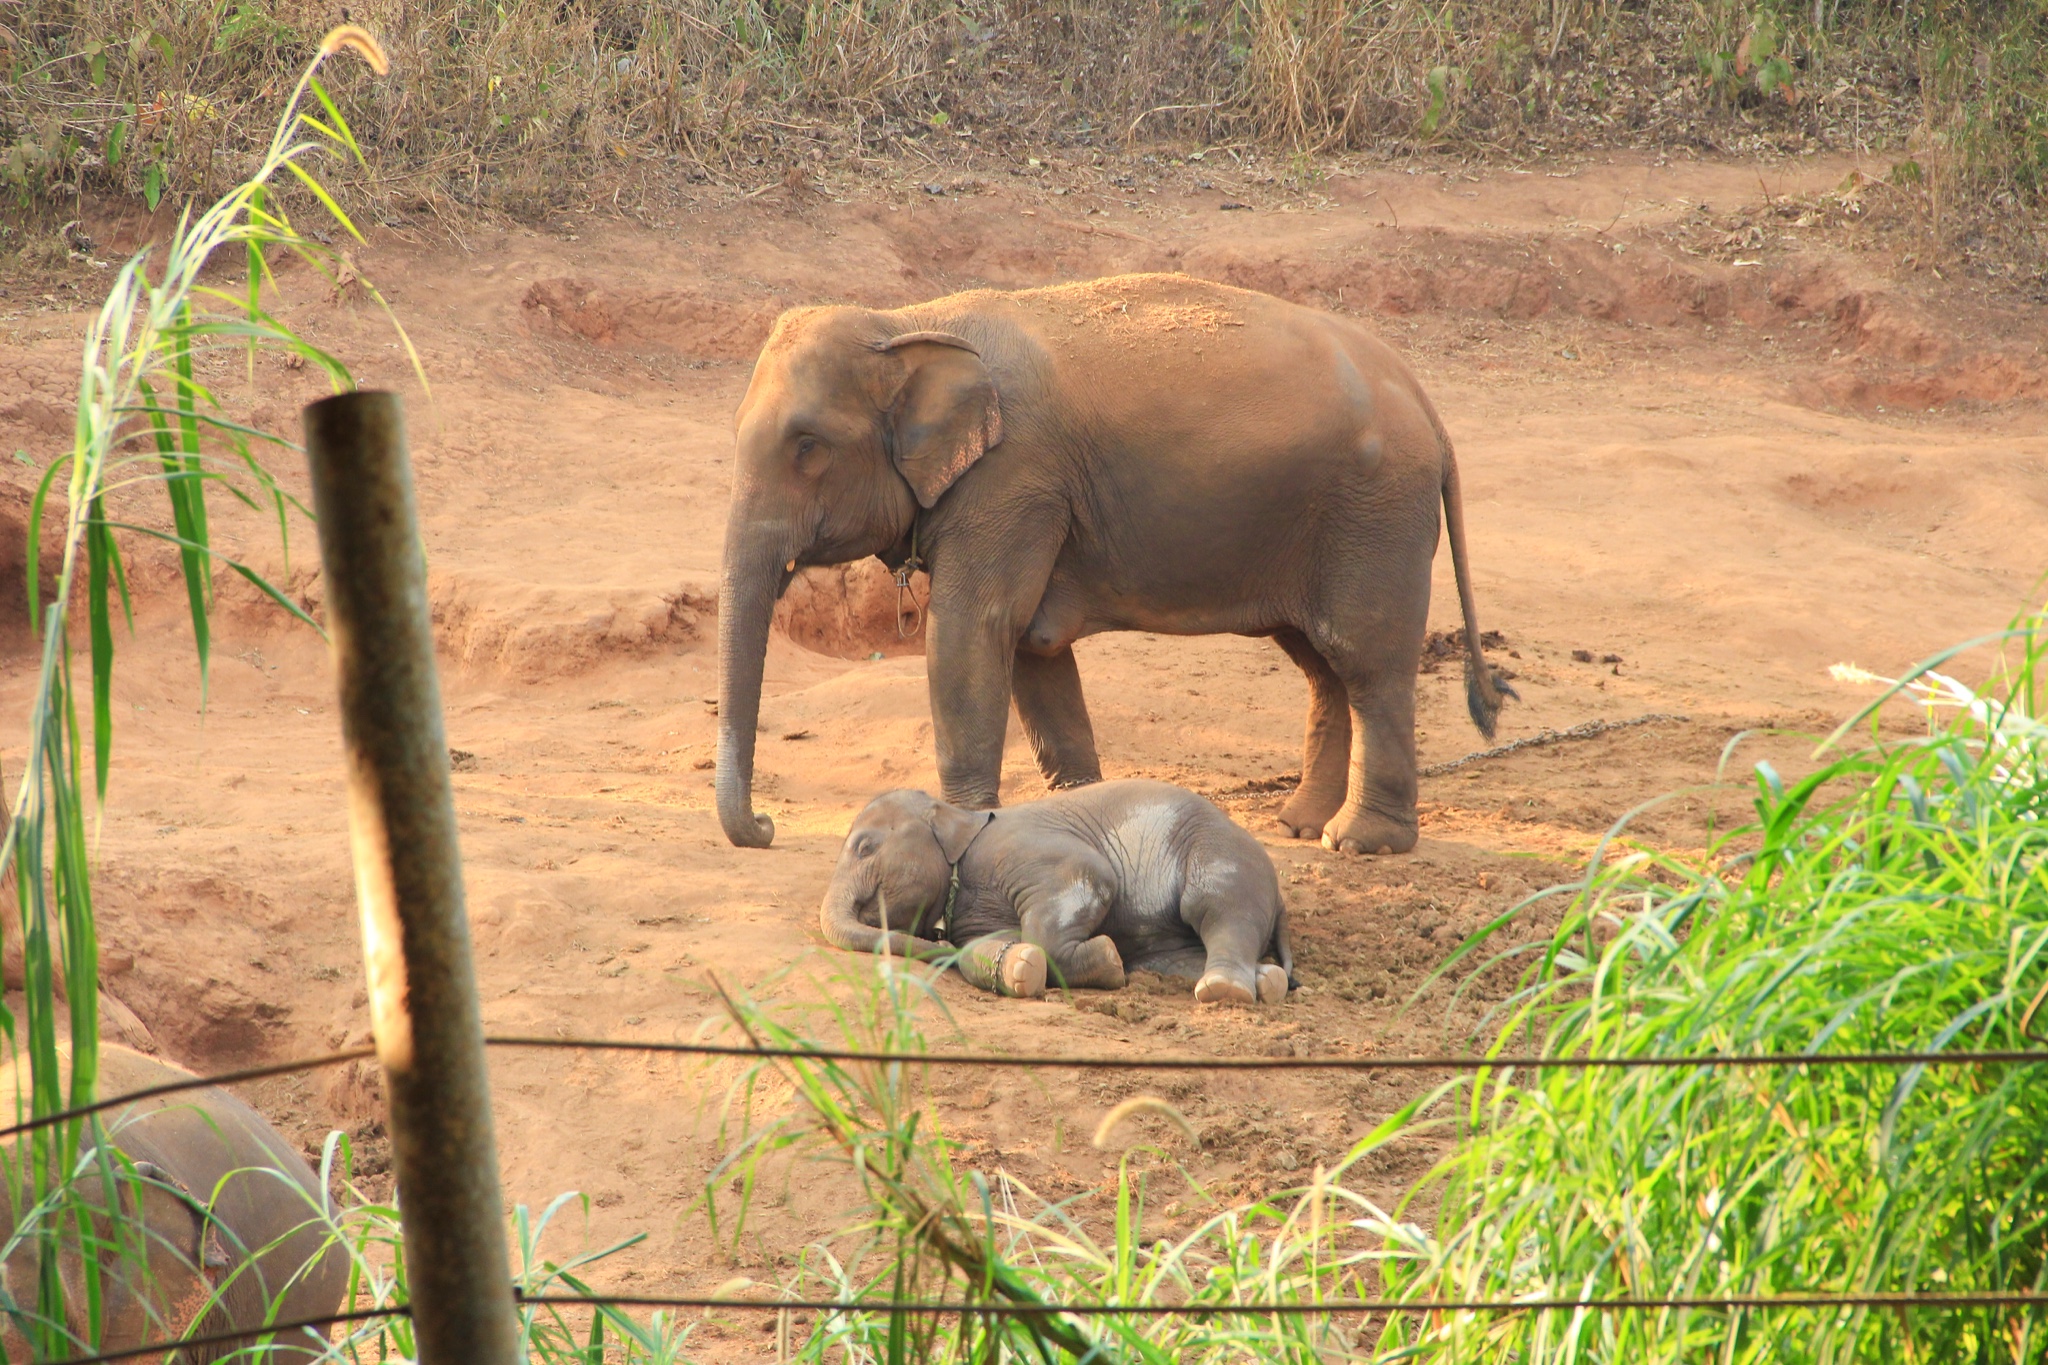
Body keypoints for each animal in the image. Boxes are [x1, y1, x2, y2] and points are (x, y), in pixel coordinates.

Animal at [716, 270, 1507, 855]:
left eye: (807, 446)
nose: (766, 827)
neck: (909, 323)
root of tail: (1426, 403)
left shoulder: (1013, 482)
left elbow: (976, 632)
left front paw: (962, 828)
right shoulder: (1026, 499)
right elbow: (1032, 647)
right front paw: (1076, 812)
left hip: (1375, 515)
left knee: (1365, 659)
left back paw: (1358, 842)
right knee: (1320, 663)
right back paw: (1299, 823)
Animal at [819, 777, 1286, 1002]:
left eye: (865, 848)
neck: (956, 814)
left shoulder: (1018, 847)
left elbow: (1087, 874)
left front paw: (1108, 959)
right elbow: (987, 947)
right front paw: (1022, 968)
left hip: (1219, 853)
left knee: (1220, 909)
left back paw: (1225, 991)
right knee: (1176, 957)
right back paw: (1268, 981)